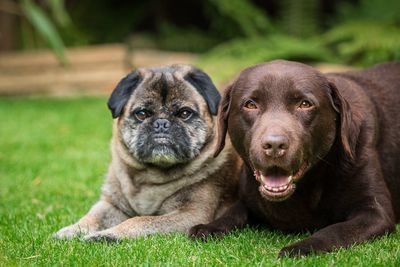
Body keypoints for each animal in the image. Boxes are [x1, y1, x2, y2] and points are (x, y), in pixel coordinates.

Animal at [53, 65, 241, 243]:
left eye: (185, 113)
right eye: (142, 114)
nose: (162, 123)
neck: (151, 177)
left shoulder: (192, 214)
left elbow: (140, 220)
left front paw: (107, 235)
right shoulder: (112, 204)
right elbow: (92, 217)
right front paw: (72, 230)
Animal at [190, 60, 400, 258]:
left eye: (305, 104)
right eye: (250, 104)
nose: (274, 145)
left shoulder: (375, 212)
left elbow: (335, 230)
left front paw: (301, 247)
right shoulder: (249, 198)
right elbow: (234, 211)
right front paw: (209, 227)